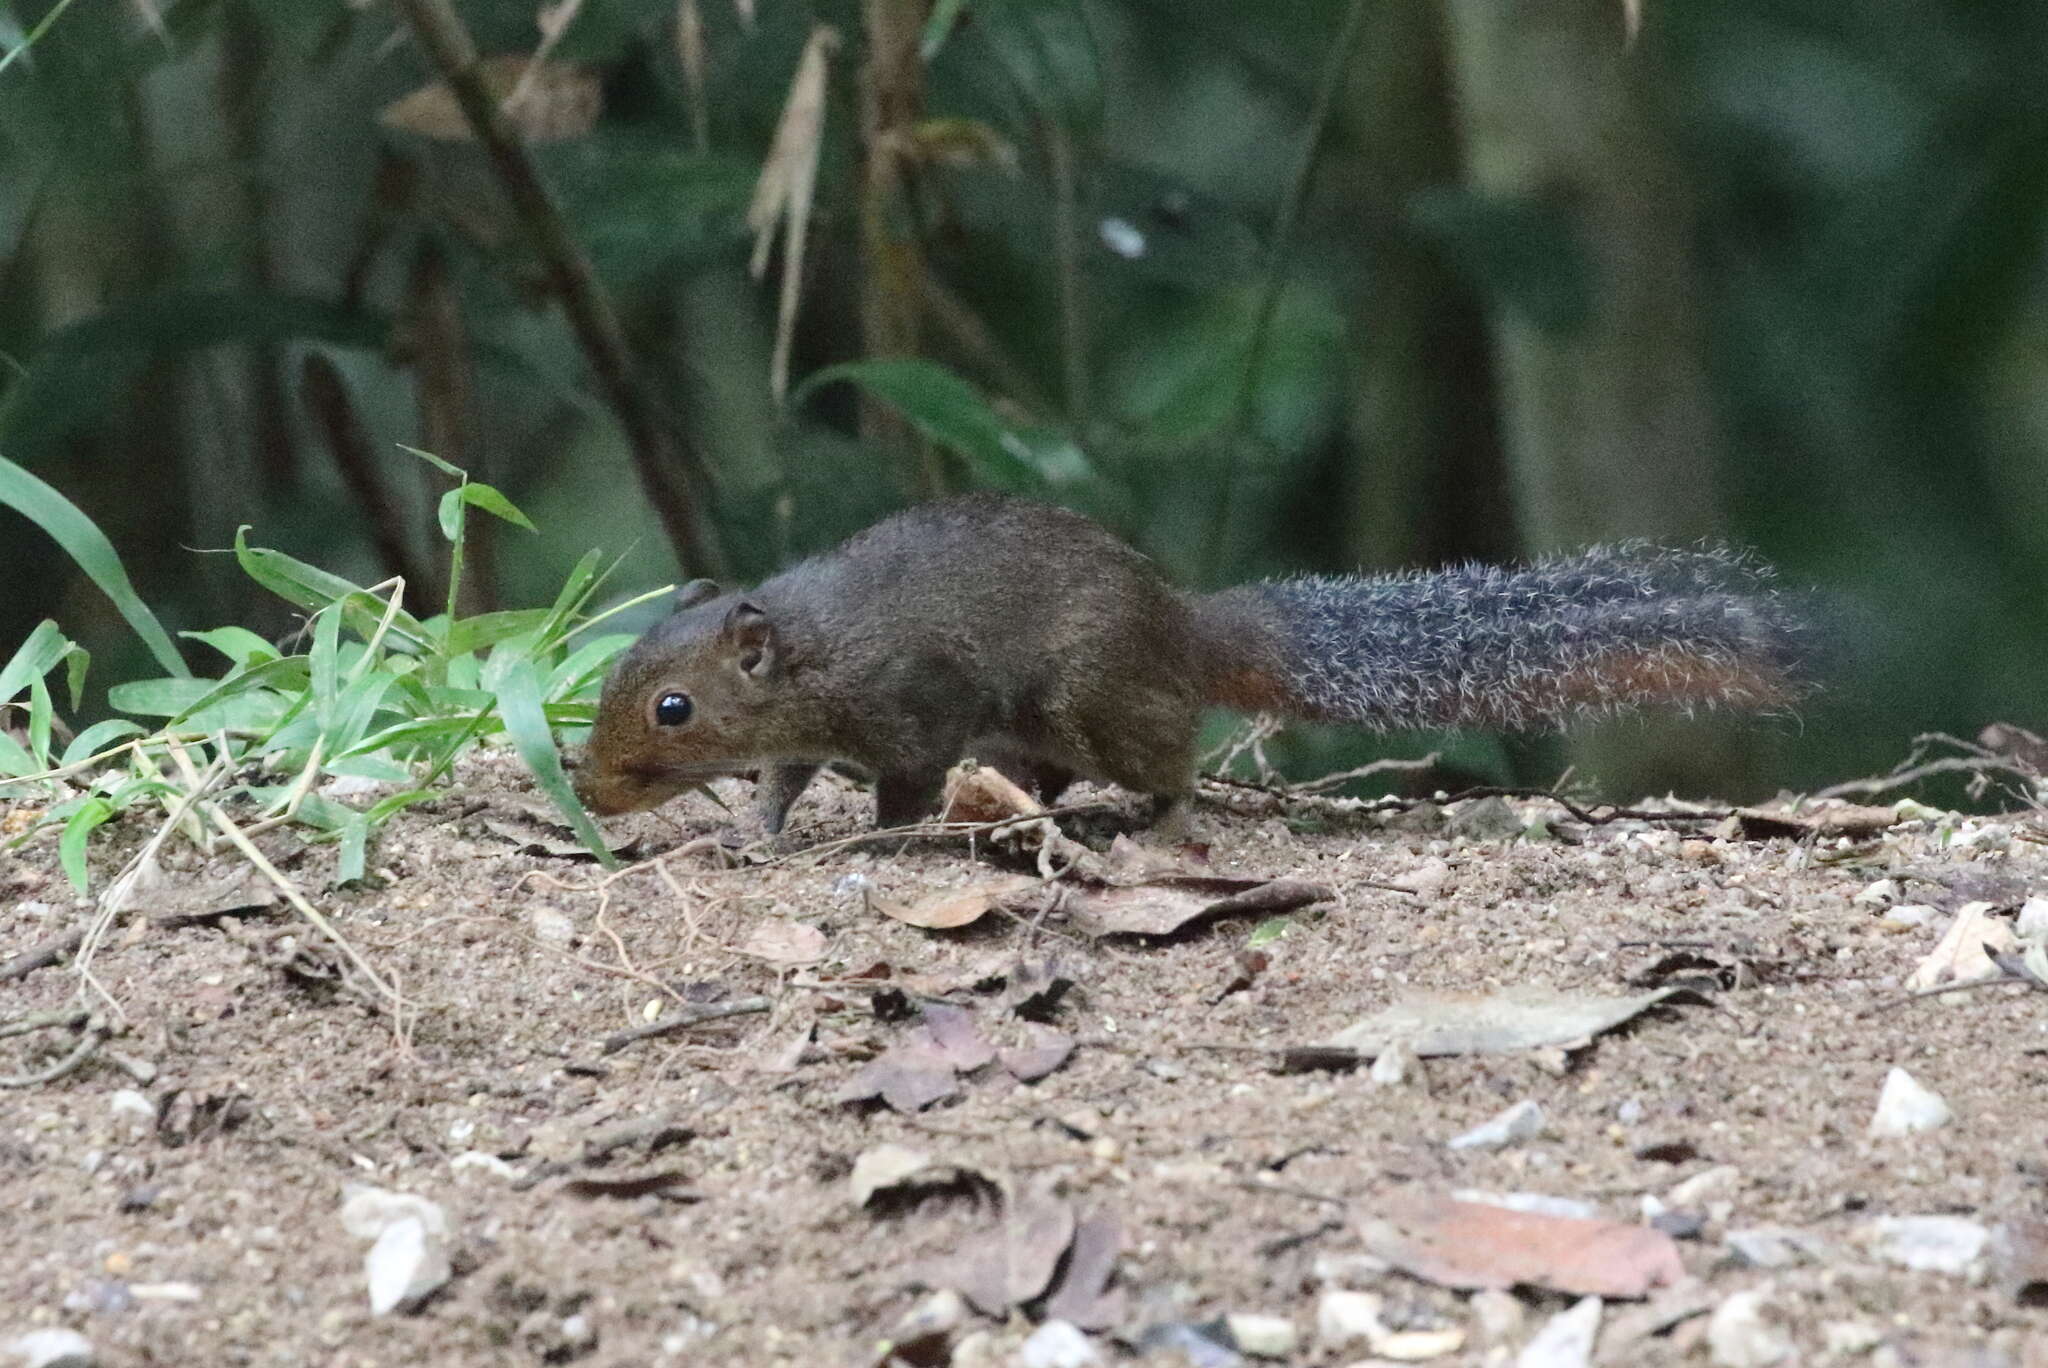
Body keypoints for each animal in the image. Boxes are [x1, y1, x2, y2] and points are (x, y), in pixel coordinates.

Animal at [573, 493, 1810, 835]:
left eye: (672, 709)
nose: (586, 787)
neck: (812, 648)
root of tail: (1180, 625)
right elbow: (782, 778)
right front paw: (760, 831)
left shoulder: (912, 704)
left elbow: (904, 785)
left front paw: (876, 838)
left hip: (1086, 695)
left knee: (1167, 764)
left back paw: (1157, 822)